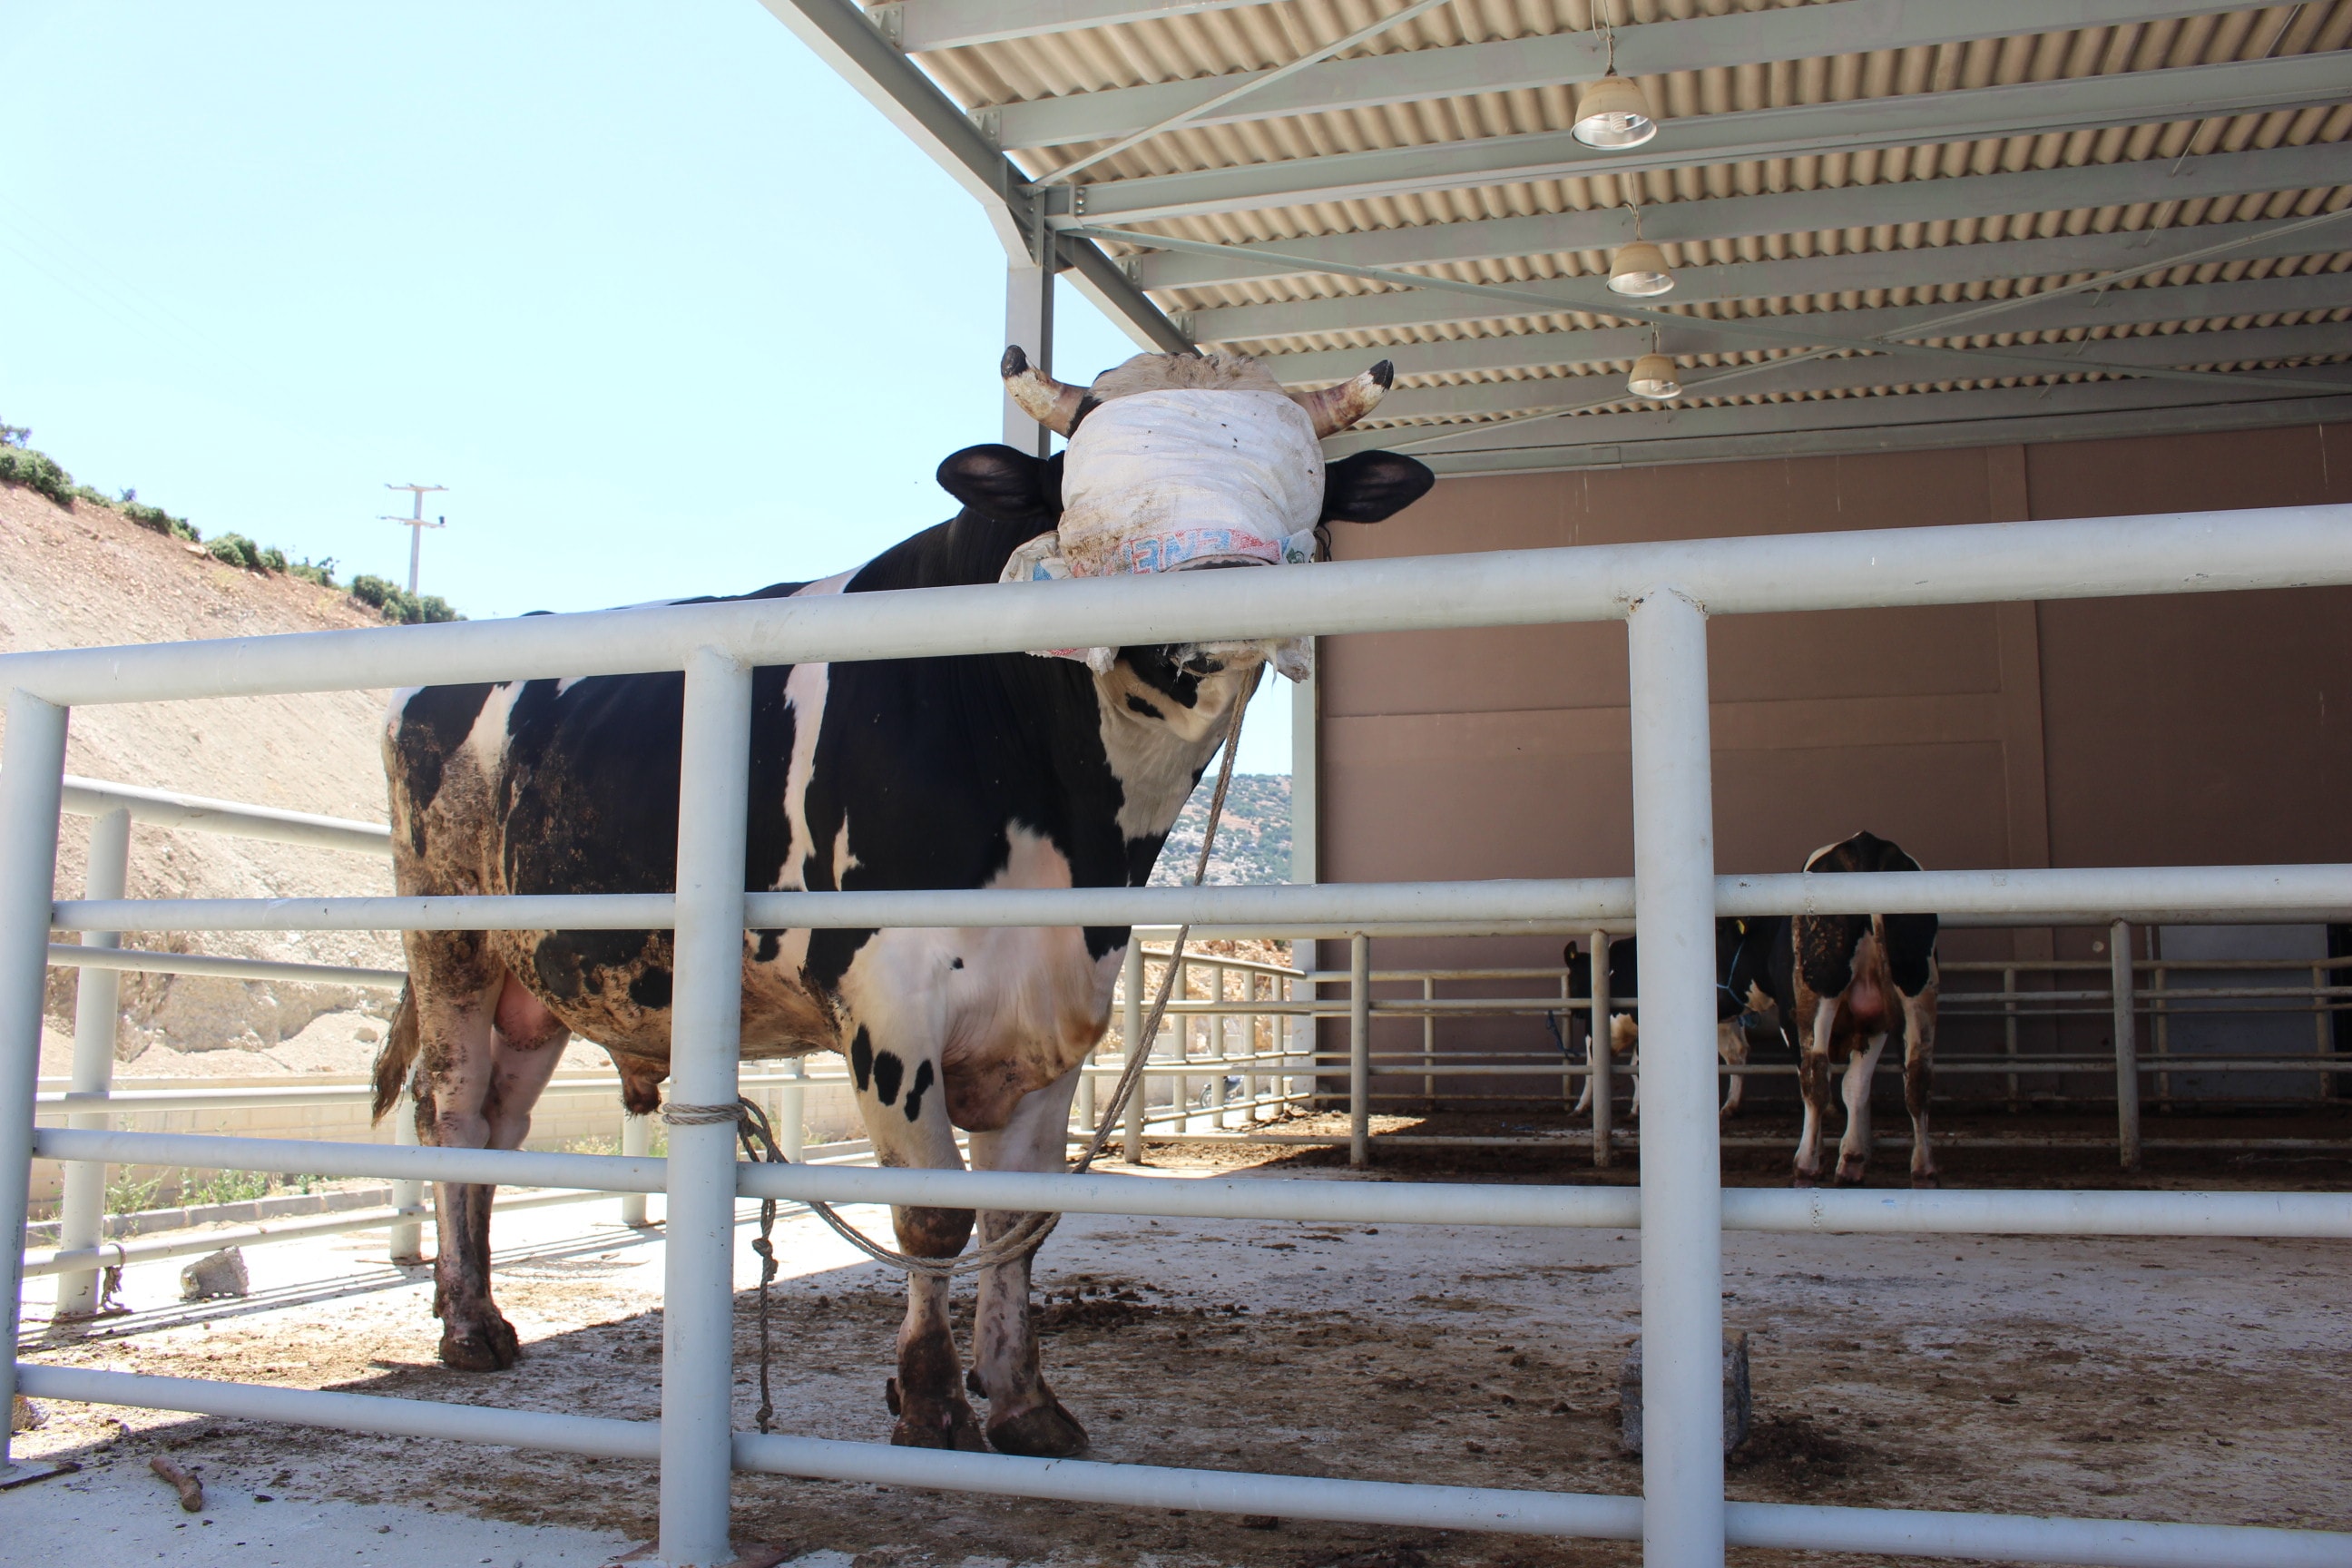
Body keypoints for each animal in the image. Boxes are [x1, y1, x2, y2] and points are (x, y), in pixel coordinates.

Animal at [368, 347, 1434, 1457]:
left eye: (1298, 486)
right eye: (1089, 494)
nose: (1204, 608)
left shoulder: (1057, 1017)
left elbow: (1015, 1223)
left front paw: (1022, 1399)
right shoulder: (886, 1004)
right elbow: (931, 1214)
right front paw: (928, 1400)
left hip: (538, 986)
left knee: (497, 1123)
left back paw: (461, 1303)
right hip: (451, 948)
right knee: (450, 1111)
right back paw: (470, 1327)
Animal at [1562, 920, 1782, 1120]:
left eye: (1572, 979)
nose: (1576, 1012)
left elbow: (1612, 1069)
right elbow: (1631, 1067)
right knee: (1736, 1052)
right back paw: (1730, 1106)